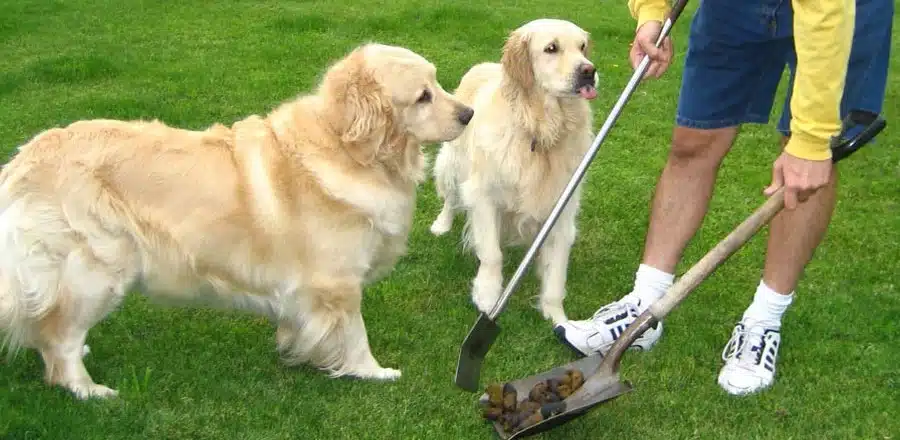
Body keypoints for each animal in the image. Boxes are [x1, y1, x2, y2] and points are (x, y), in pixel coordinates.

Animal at [0, 42, 474, 398]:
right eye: (423, 96)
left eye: (438, 82)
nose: (468, 114)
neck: (347, 148)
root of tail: (25, 159)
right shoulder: (336, 283)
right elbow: (355, 334)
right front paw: (373, 372)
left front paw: (295, 347)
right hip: (101, 269)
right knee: (58, 339)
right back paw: (89, 389)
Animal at [428, 18, 596, 324]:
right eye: (551, 48)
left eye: (582, 47)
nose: (589, 71)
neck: (540, 131)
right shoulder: (483, 195)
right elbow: (491, 253)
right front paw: (487, 294)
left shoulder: (562, 206)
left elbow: (557, 272)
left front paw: (558, 318)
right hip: (451, 164)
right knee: (450, 199)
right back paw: (441, 225)